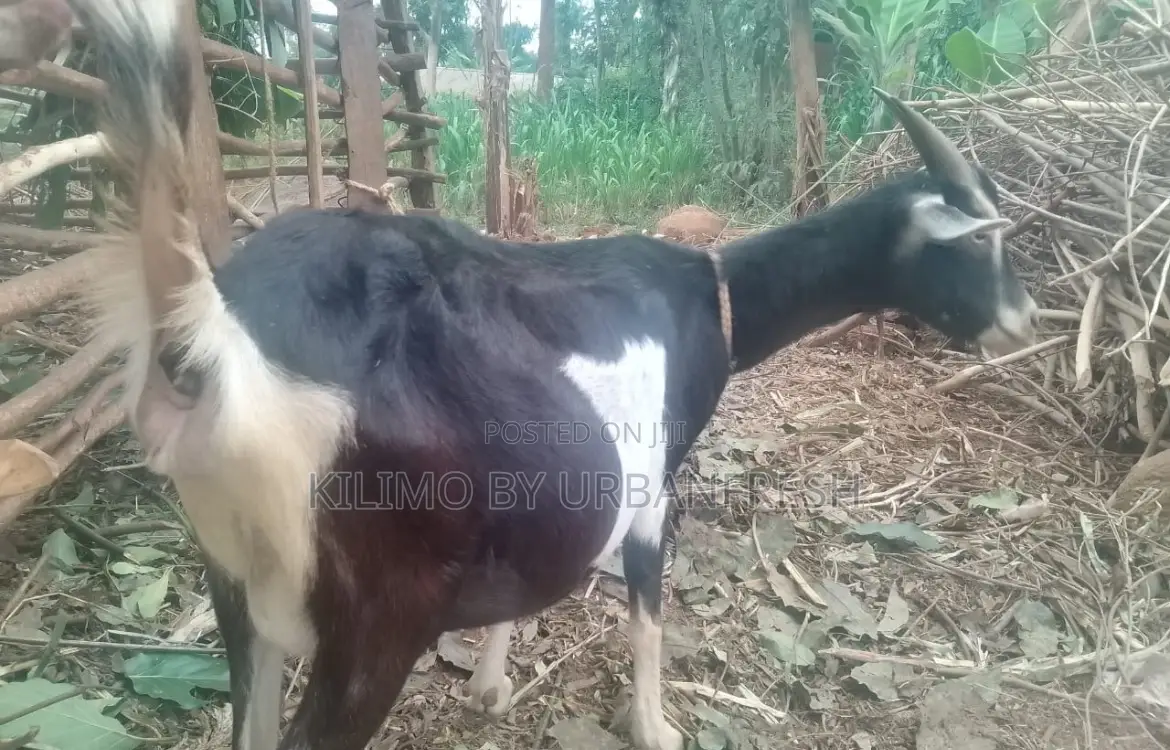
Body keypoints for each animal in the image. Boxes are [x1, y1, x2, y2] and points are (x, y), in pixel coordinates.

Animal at [70, 2, 1039, 750]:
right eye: (980, 242)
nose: (1025, 320)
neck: (709, 296)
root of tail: (214, 336)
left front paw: (491, 686)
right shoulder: (651, 486)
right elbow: (647, 608)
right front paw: (656, 726)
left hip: (235, 582)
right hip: (379, 610)